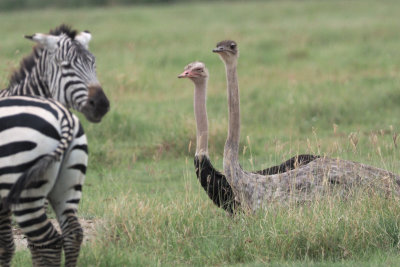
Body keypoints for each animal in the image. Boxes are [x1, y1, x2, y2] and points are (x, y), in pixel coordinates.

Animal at [0, 95, 88, 266]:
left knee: (49, 242)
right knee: (73, 233)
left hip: (25, 193)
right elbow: (5, 246)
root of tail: (64, 116)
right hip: (69, 186)